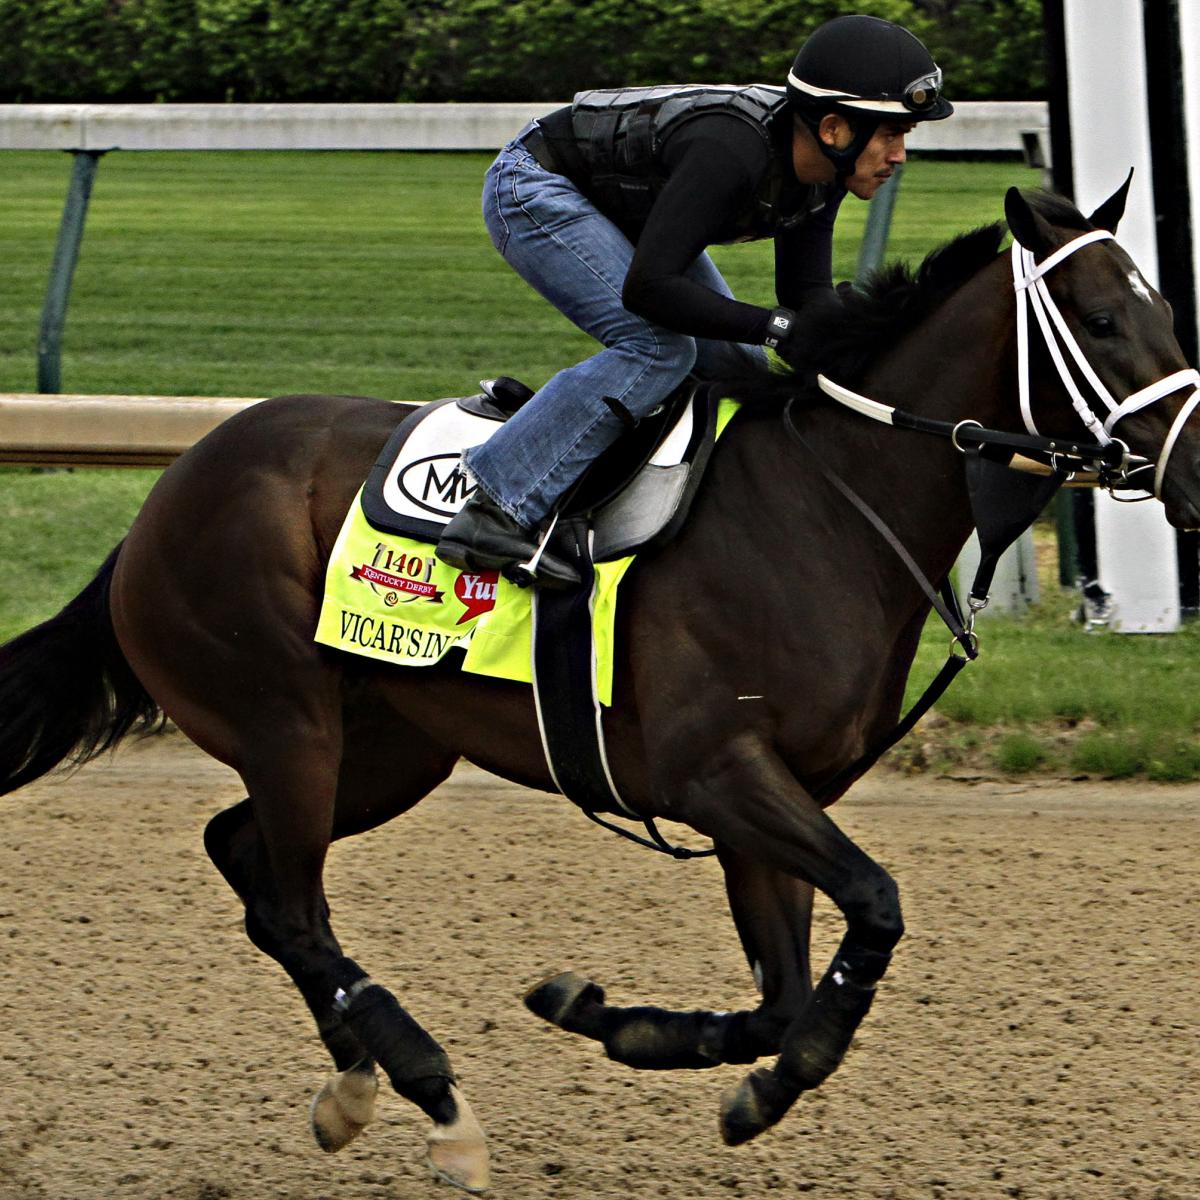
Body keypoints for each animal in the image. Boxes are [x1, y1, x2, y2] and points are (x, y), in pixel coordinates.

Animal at [2, 187, 1200, 1190]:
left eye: (1165, 313)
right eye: (1102, 320)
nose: (1192, 472)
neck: (825, 508)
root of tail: (166, 492)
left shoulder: (771, 797)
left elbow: (777, 1001)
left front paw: (612, 1019)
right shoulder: (720, 774)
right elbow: (872, 909)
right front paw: (770, 1067)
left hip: (389, 746)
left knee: (245, 861)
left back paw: (354, 1084)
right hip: (287, 721)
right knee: (294, 907)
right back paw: (432, 1093)